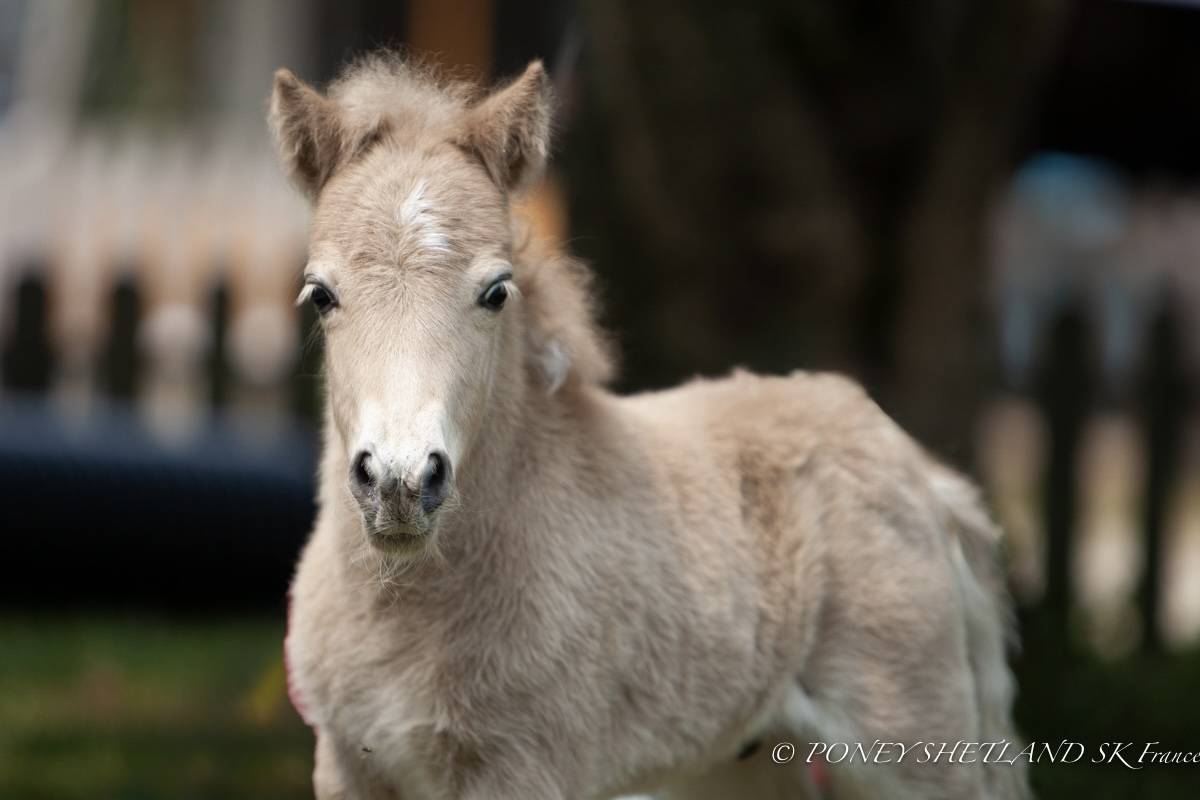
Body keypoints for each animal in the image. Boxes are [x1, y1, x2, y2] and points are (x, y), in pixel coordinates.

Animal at [270, 53, 1029, 800]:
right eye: (321, 295)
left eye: (496, 292)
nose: (399, 483)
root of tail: (917, 470)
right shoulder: (346, 764)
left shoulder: (526, 768)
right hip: (742, 765)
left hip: (913, 751)